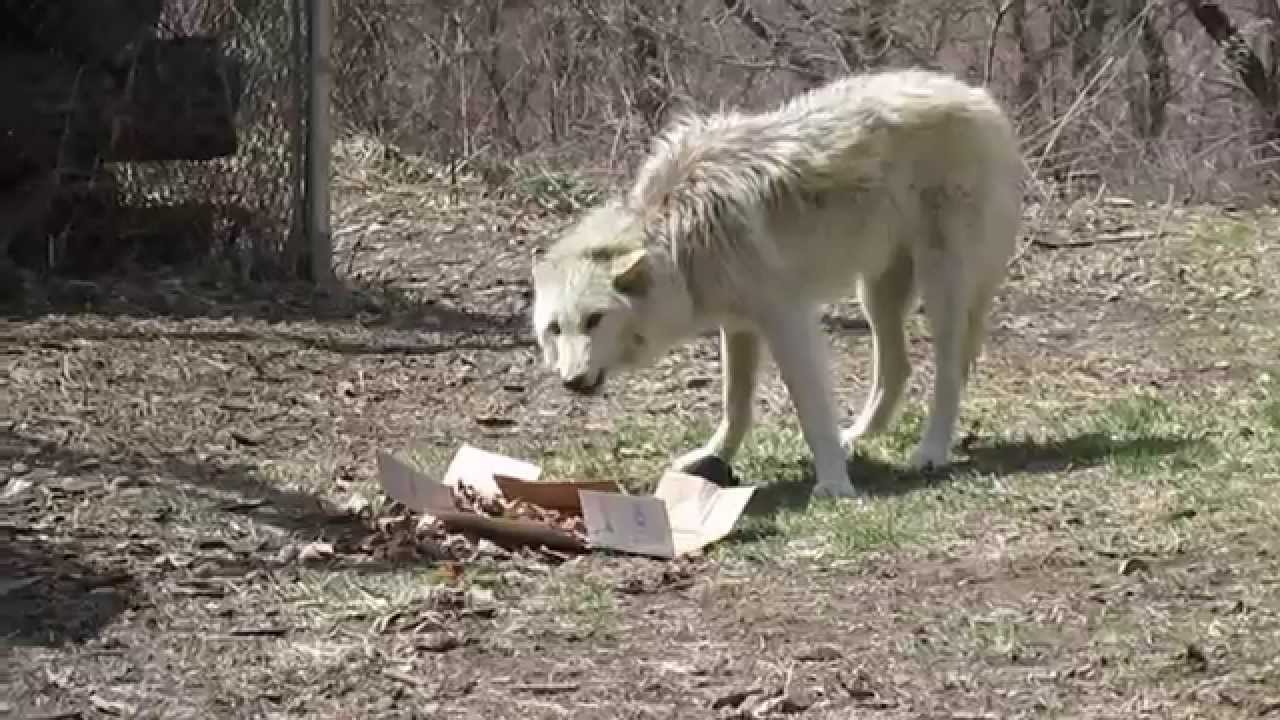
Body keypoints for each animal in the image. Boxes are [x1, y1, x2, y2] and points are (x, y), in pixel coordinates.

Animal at [529, 68, 1023, 498]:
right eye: (555, 329)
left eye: (595, 320)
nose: (572, 381)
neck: (678, 234)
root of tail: (981, 98)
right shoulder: (738, 325)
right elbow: (735, 405)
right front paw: (712, 458)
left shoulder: (786, 320)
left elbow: (810, 409)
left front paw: (835, 485)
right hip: (875, 293)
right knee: (898, 367)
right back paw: (859, 435)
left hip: (941, 286)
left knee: (949, 371)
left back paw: (931, 451)